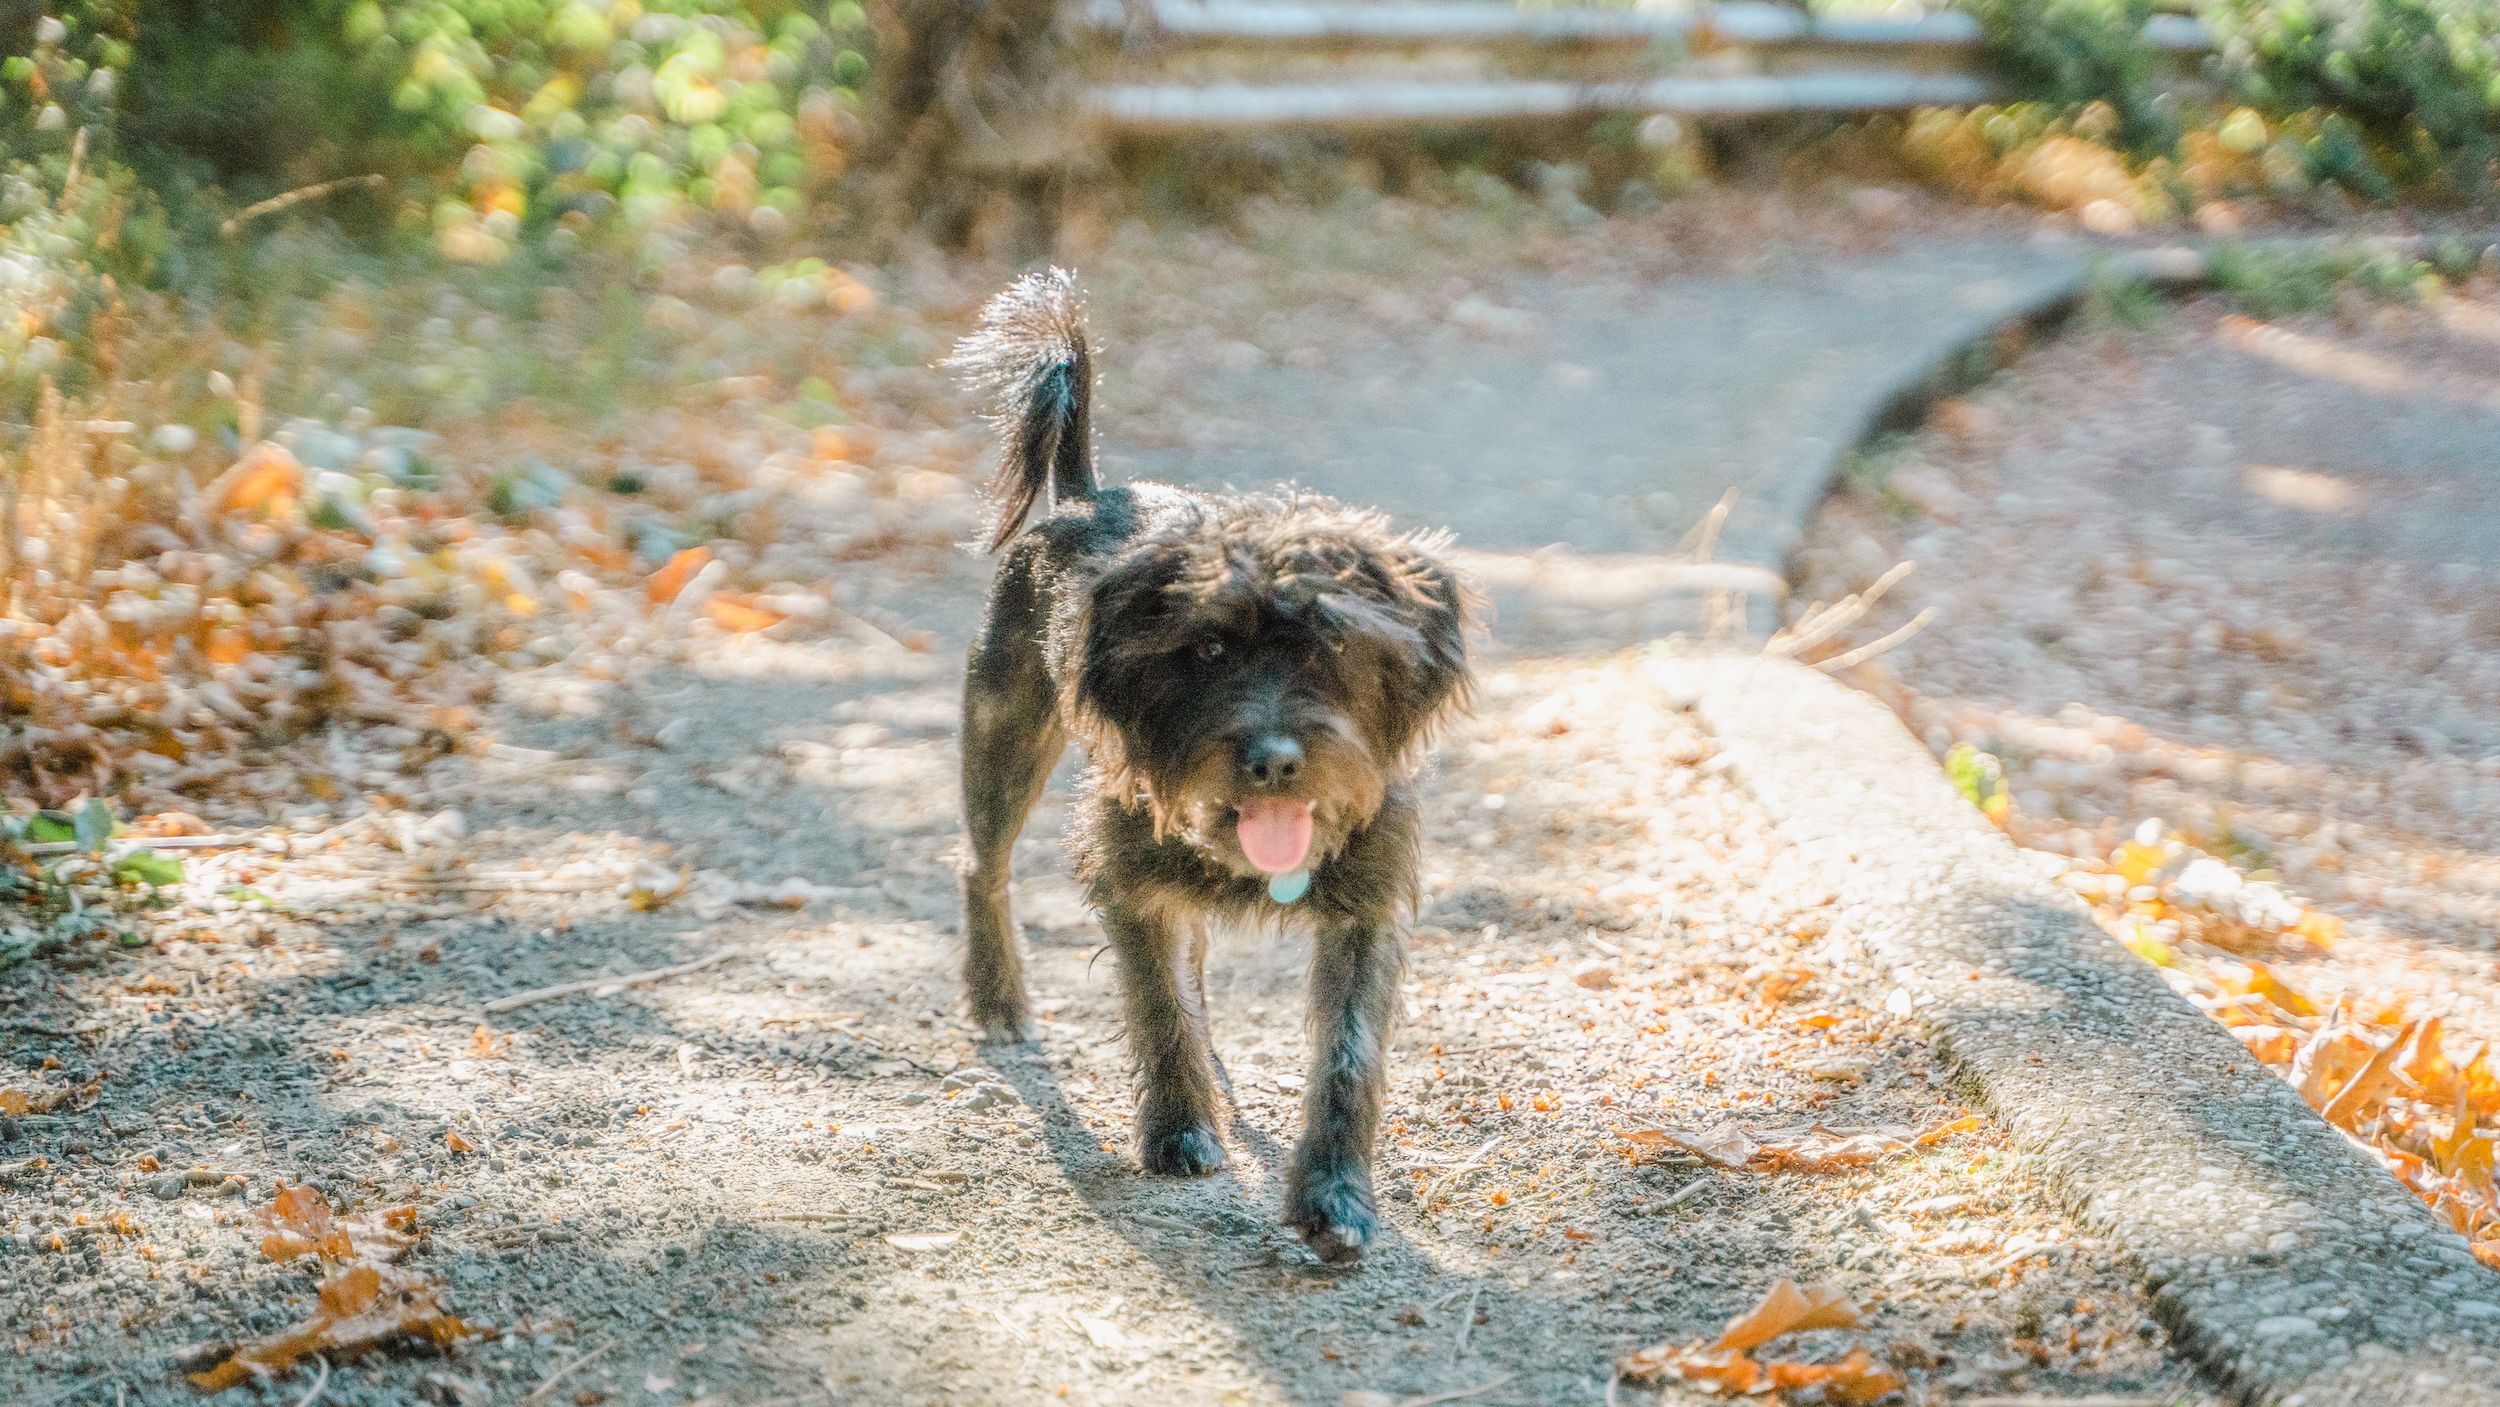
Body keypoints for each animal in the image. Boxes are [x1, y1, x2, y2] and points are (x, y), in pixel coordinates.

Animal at [945, 269, 1470, 1259]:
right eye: (1209, 651)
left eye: (1333, 647)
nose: (1273, 761)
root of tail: (1088, 492)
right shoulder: (1128, 879)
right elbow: (1160, 1005)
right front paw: (1181, 1130)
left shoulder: (1370, 909)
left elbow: (1346, 1056)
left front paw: (1334, 1195)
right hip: (1002, 735)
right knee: (980, 866)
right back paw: (999, 1000)